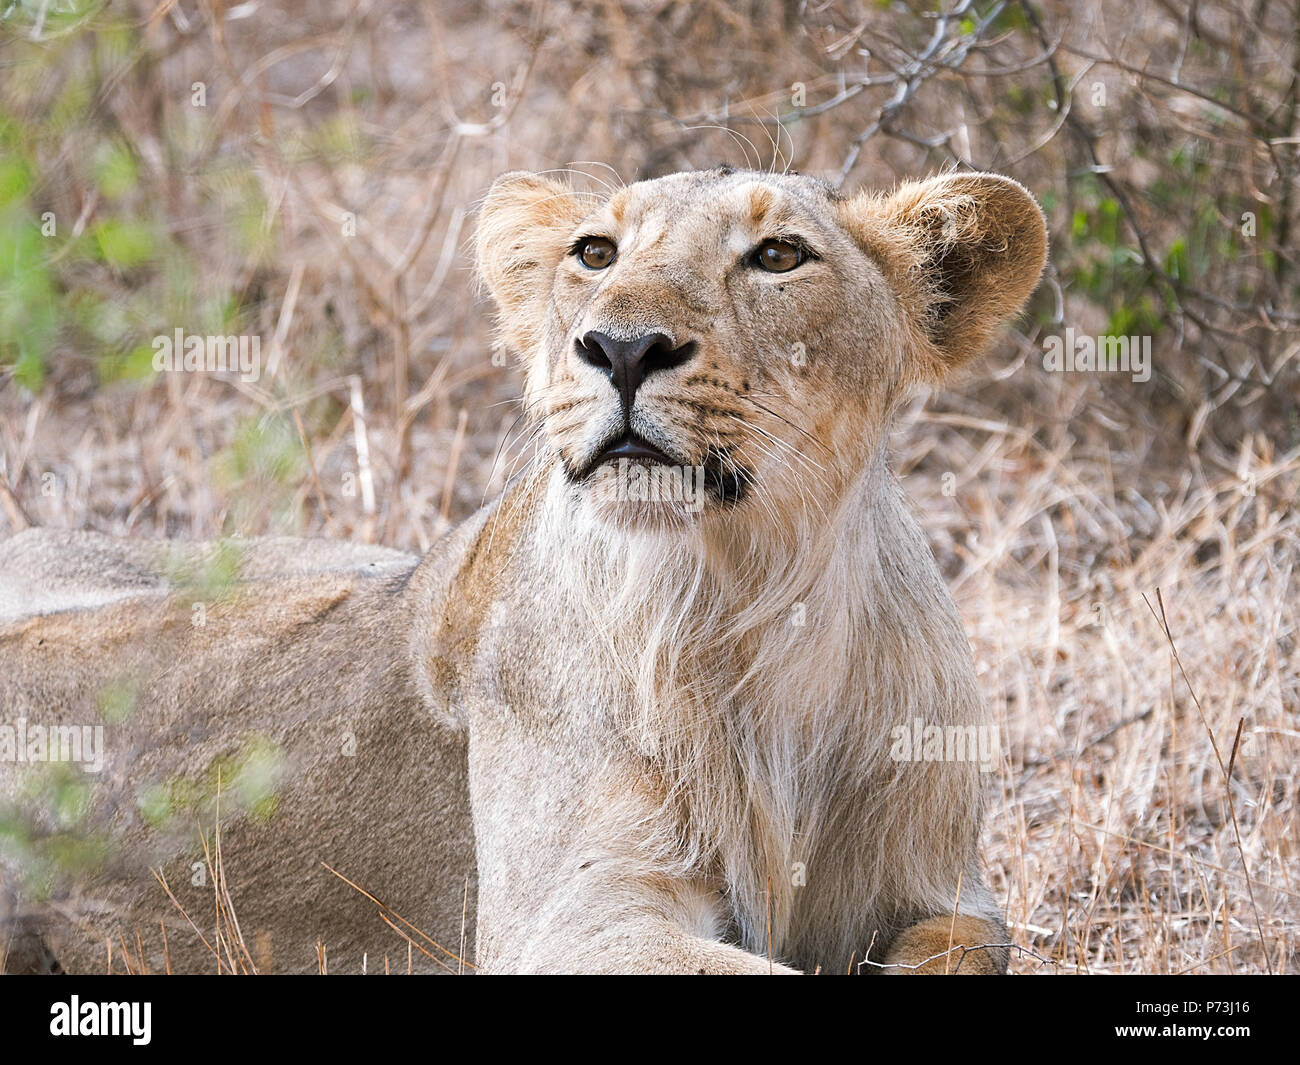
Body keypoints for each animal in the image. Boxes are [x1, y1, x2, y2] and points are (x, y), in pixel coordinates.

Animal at [0, 165, 1046, 975]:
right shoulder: (575, 919)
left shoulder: (947, 896)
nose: (621, 346)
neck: (757, 605)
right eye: (596, 254)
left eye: (779, 256)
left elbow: (968, 946)